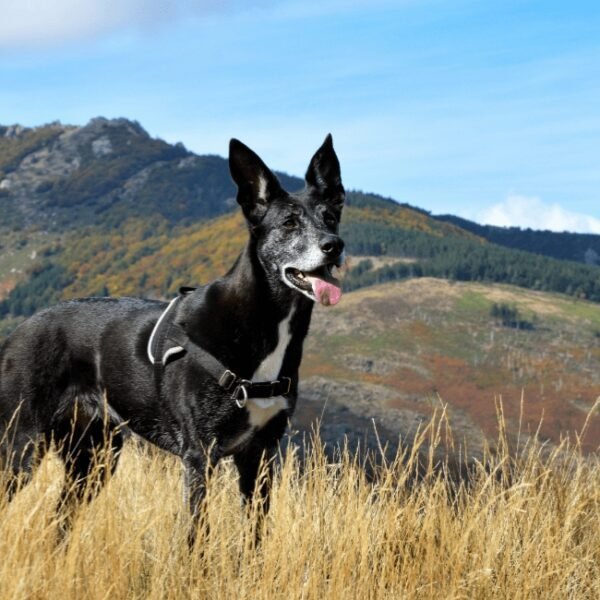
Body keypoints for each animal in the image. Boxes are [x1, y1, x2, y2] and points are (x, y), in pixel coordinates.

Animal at [0, 135, 344, 536]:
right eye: (289, 223)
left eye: (331, 217)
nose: (334, 246)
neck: (264, 321)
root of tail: (19, 330)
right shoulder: (200, 455)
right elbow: (197, 535)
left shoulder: (259, 456)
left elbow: (255, 535)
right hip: (21, 443)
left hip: (93, 457)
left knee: (61, 521)